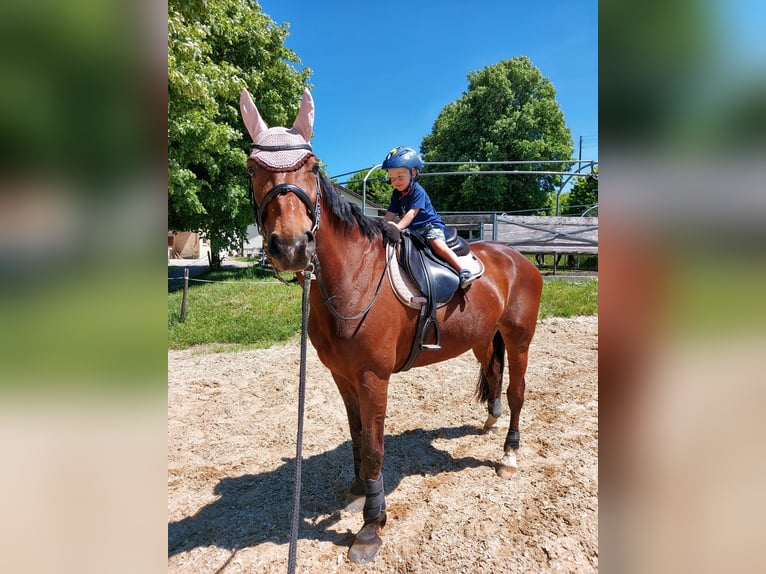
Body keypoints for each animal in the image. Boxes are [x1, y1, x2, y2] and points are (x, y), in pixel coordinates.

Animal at [240, 90, 544, 568]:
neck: (353, 278)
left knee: (517, 391)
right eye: (253, 168)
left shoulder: (373, 378)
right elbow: (357, 437)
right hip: (482, 337)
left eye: (312, 165)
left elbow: (375, 447)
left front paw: (371, 525)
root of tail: (519, 259)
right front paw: (356, 492)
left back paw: (510, 453)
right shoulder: (342, 376)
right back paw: (490, 421)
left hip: (519, 337)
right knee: (494, 377)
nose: (290, 246)